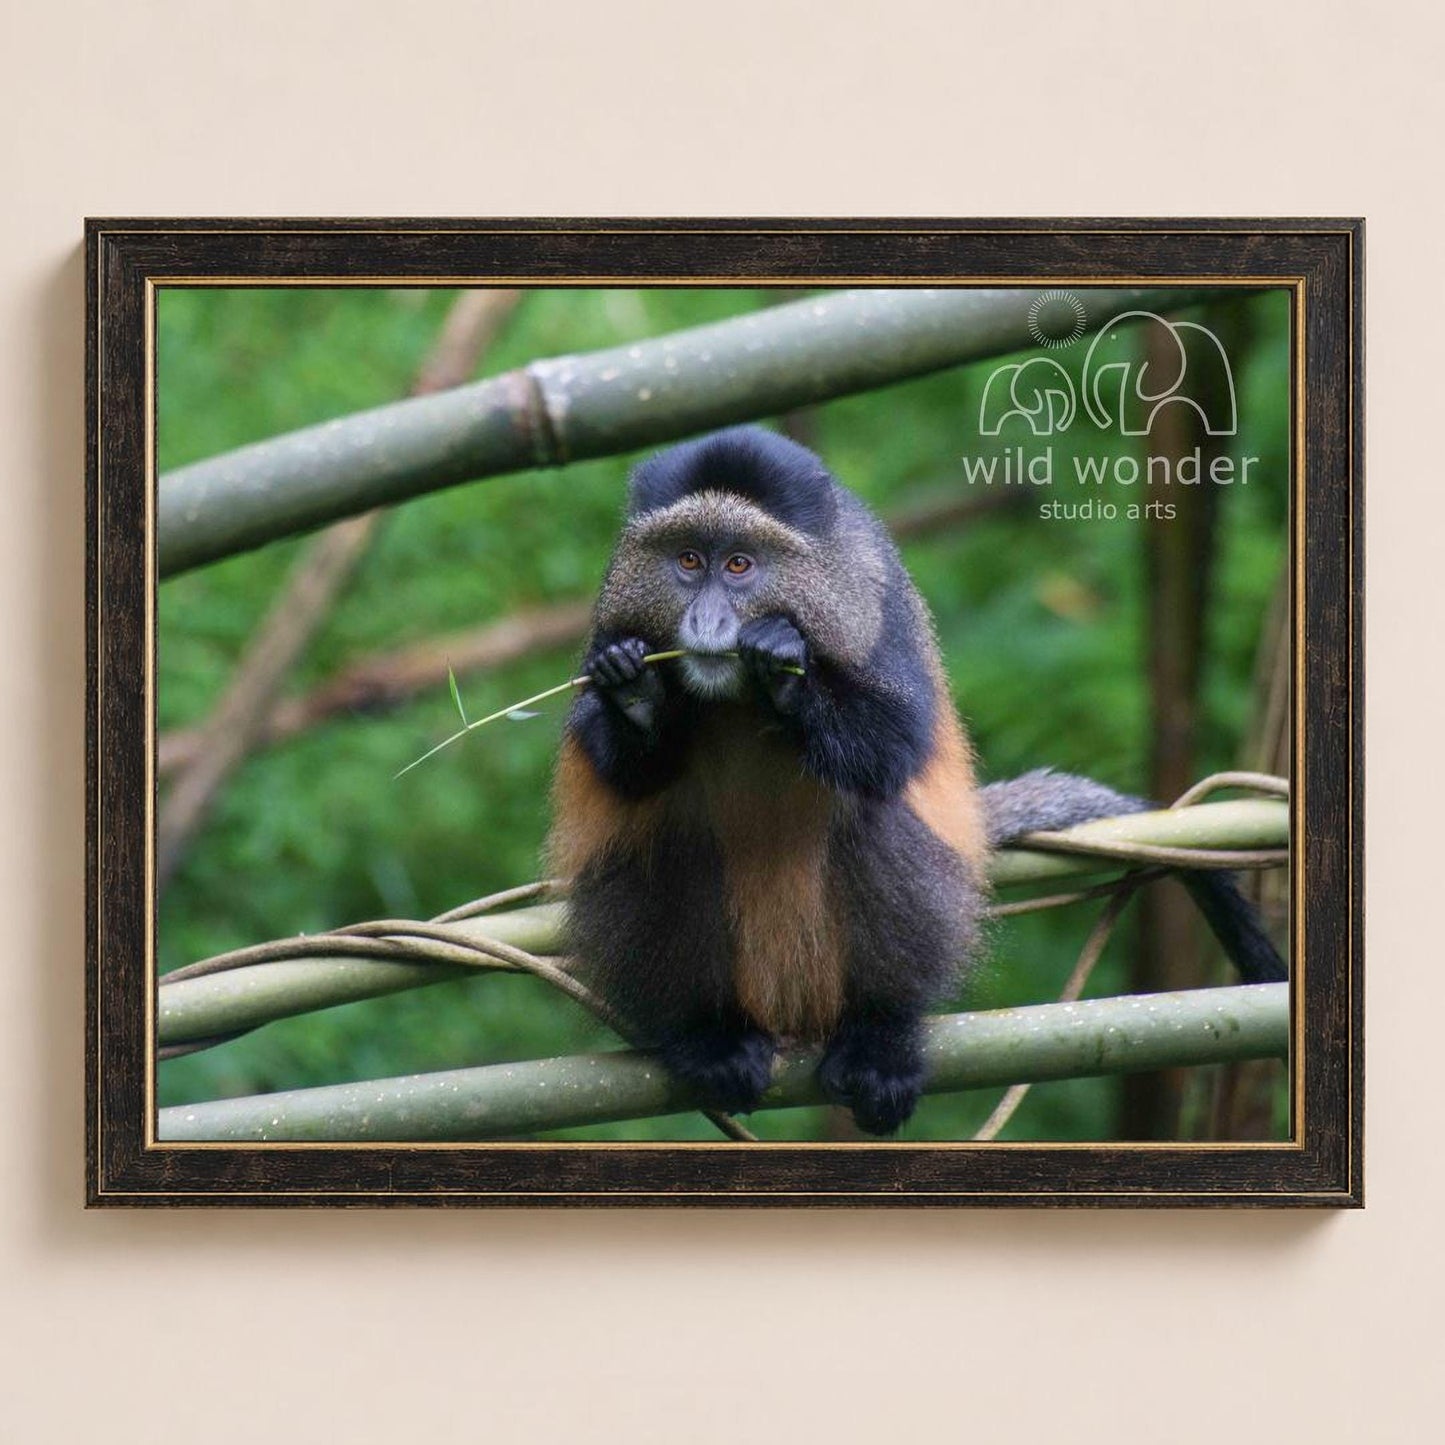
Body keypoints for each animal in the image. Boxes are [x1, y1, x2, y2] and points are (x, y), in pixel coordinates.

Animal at [546, 426, 1285, 1136]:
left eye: (738, 565)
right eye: (687, 561)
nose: (704, 622)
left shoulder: (876, 597)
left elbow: (893, 748)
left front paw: (782, 663)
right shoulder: (611, 616)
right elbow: (628, 772)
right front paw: (636, 691)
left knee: (868, 820)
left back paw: (880, 1036)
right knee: (675, 838)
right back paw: (711, 1037)